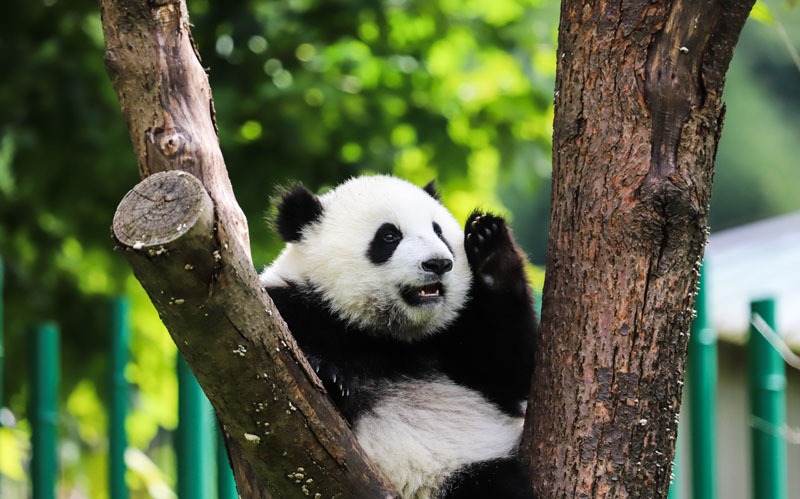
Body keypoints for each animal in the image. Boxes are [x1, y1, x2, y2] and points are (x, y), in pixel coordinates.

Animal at [262, 177, 536, 499]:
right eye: (389, 236)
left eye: (438, 231)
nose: (438, 263)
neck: (386, 335)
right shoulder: (289, 308)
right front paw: (326, 374)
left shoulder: (455, 333)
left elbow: (509, 371)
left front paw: (492, 252)